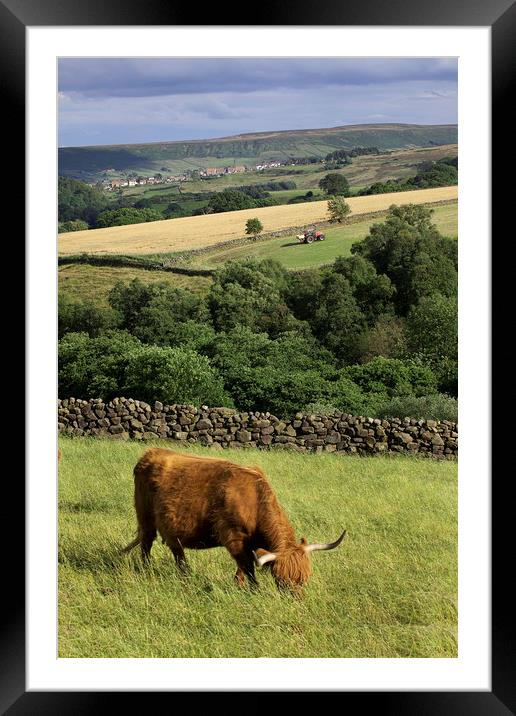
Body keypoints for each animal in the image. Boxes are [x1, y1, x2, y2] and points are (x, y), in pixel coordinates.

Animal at [122, 448, 346, 588]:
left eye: (304, 580)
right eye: (282, 581)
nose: (295, 601)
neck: (254, 501)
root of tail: (151, 453)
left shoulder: (250, 544)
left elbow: (242, 567)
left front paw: (238, 584)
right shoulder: (234, 537)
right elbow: (247, 567)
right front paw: (253, 589)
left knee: (177, 551)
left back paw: (185, 575)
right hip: (145, 518)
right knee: (147, 544)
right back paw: (148, 570)